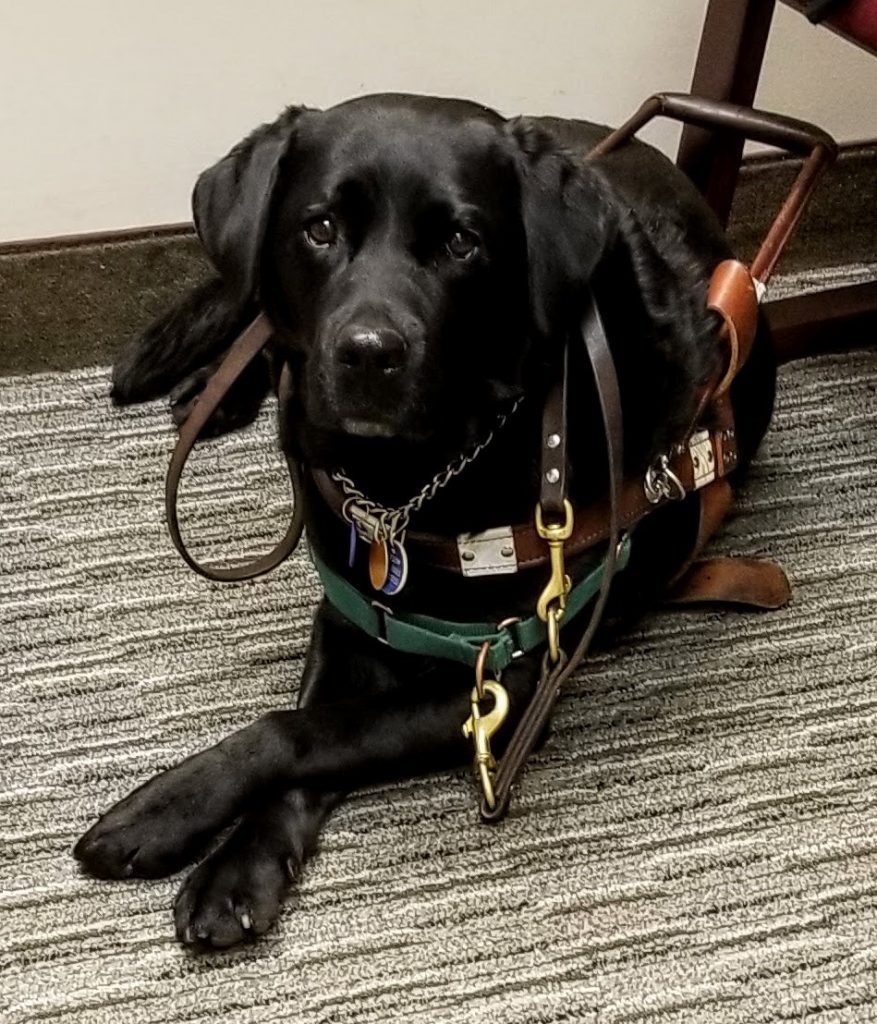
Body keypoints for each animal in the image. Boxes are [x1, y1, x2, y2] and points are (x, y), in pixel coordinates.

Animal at [75, 92, 774, 946]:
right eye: (319, 228)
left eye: (461, 242)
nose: (368, 353)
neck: (408, 485)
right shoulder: (350, 615)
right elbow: (310, 719)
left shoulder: (502, 682)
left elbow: (300, 734)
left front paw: (186, 827)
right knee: (253, 314)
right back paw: (216, 388)